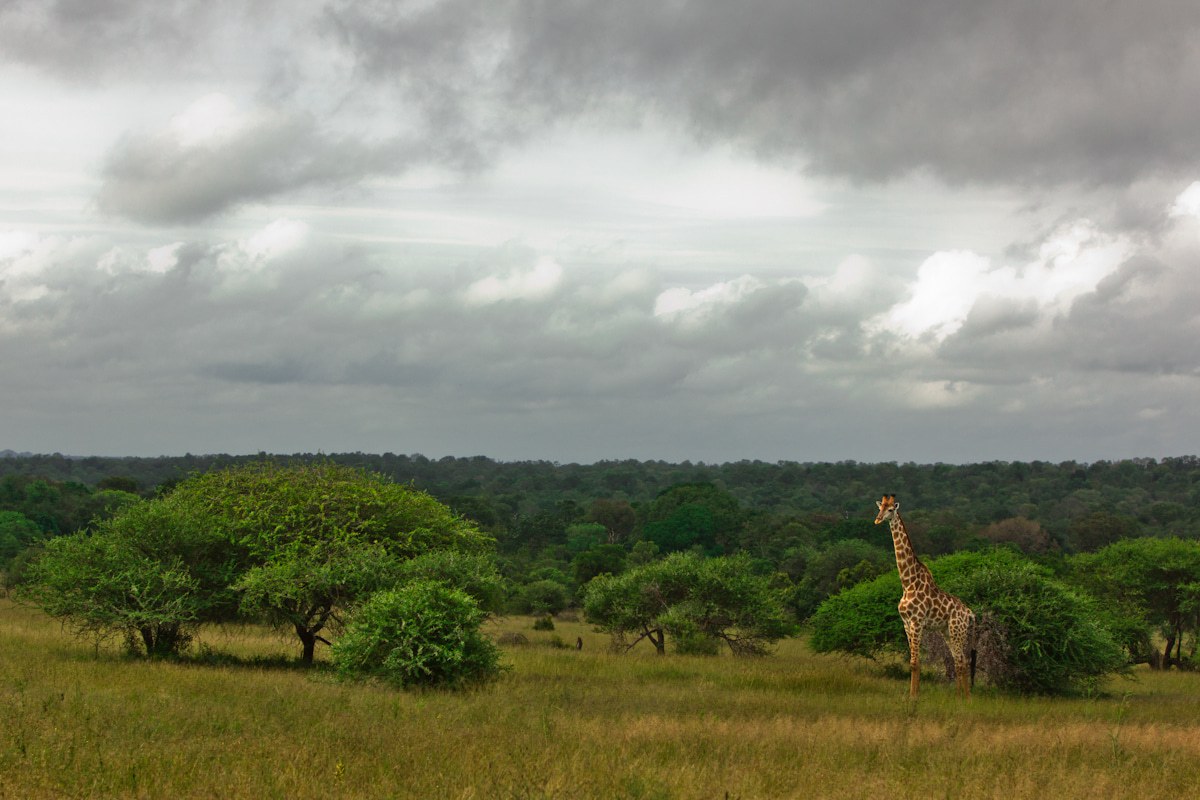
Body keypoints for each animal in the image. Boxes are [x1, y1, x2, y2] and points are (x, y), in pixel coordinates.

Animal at [875, 494, 975, 699]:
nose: (878, 520)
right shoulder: (906, 623)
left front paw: (913, 697)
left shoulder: (916, 622)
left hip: (957, 630)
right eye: (879, 508)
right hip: (947, 631)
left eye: (891, 510)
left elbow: (914, 662)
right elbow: (915, 662)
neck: (908, 582)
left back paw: (965, 699)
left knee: (963, 661)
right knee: (959, 660)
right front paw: (913, 694)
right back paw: (959, 696)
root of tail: (969, 612)